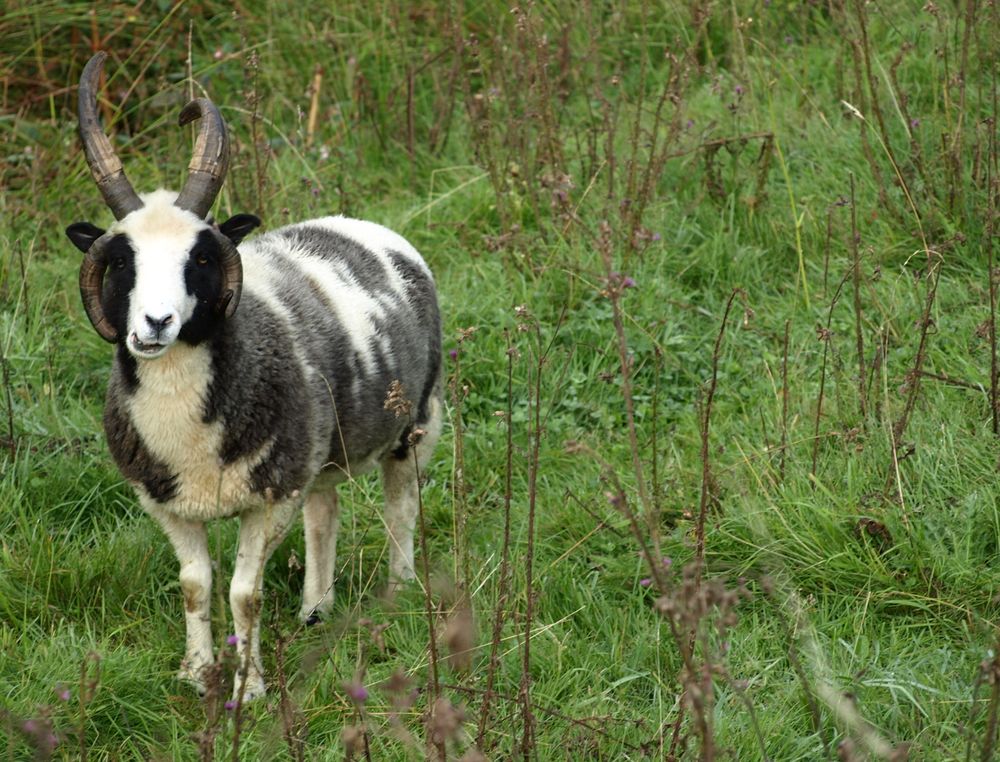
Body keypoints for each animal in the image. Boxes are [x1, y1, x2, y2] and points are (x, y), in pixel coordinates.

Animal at [62, 50, 438, 696]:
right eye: (121, 261)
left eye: (201, 256)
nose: (155, 323)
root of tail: (361, 224)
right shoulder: (167, 501)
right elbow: (195, 586)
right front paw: (197, 672)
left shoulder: (269, 496)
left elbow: (245, 594)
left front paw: (249, 687)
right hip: (316, 447)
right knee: (324, 510)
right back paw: (316, 608)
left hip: (414, 422)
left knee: (400, 508)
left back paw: (397, 592)